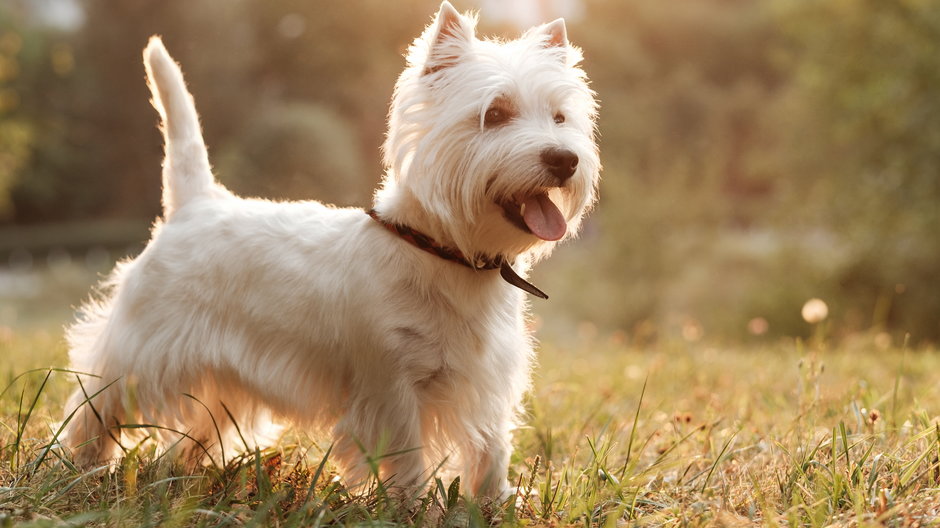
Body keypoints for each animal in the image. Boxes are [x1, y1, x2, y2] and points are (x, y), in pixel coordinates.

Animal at [62, 2, 600, 502]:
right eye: (496, 114)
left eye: (560, 117)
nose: (564, 159)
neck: (446, 252)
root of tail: (195, 203)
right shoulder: (390, 384)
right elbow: (407, 456)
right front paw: (413, 507)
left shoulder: (487, 381)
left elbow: (491, 449)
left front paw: (495, 504)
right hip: (142, 347)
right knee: (97, 403)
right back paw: (81, 468)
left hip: (220, 374)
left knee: (197, 427)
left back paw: (188, 475)